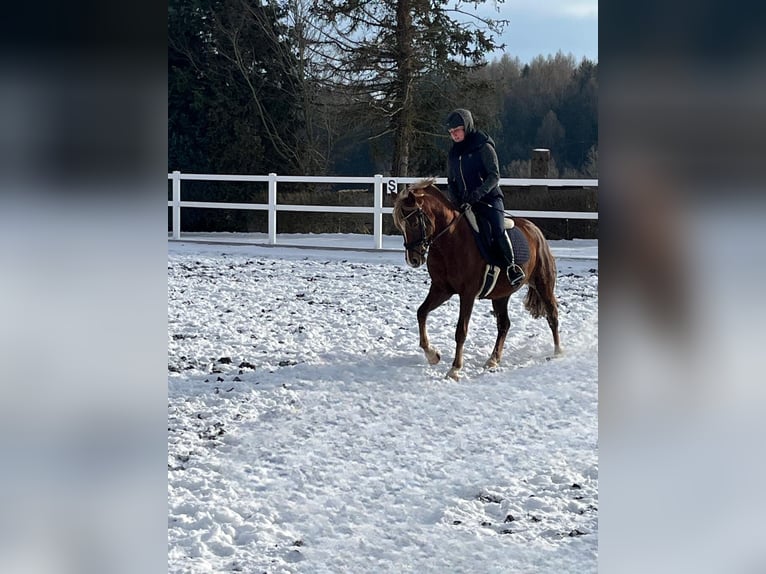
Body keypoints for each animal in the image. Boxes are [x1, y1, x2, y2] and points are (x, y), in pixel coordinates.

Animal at [392, 178, 561, 380]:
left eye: (414, 222)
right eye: (401, 226)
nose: (413, 260)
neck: (450, 240)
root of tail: (534, 229)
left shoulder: (468, 294)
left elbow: (461, 330)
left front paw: (455, 369)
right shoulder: (441, 289)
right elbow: (421, 312)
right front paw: (432, 355)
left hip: (543, 283)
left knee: (552, 315)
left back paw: (558, 352)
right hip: (501, 295)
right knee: (504, 324)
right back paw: (493, 360)